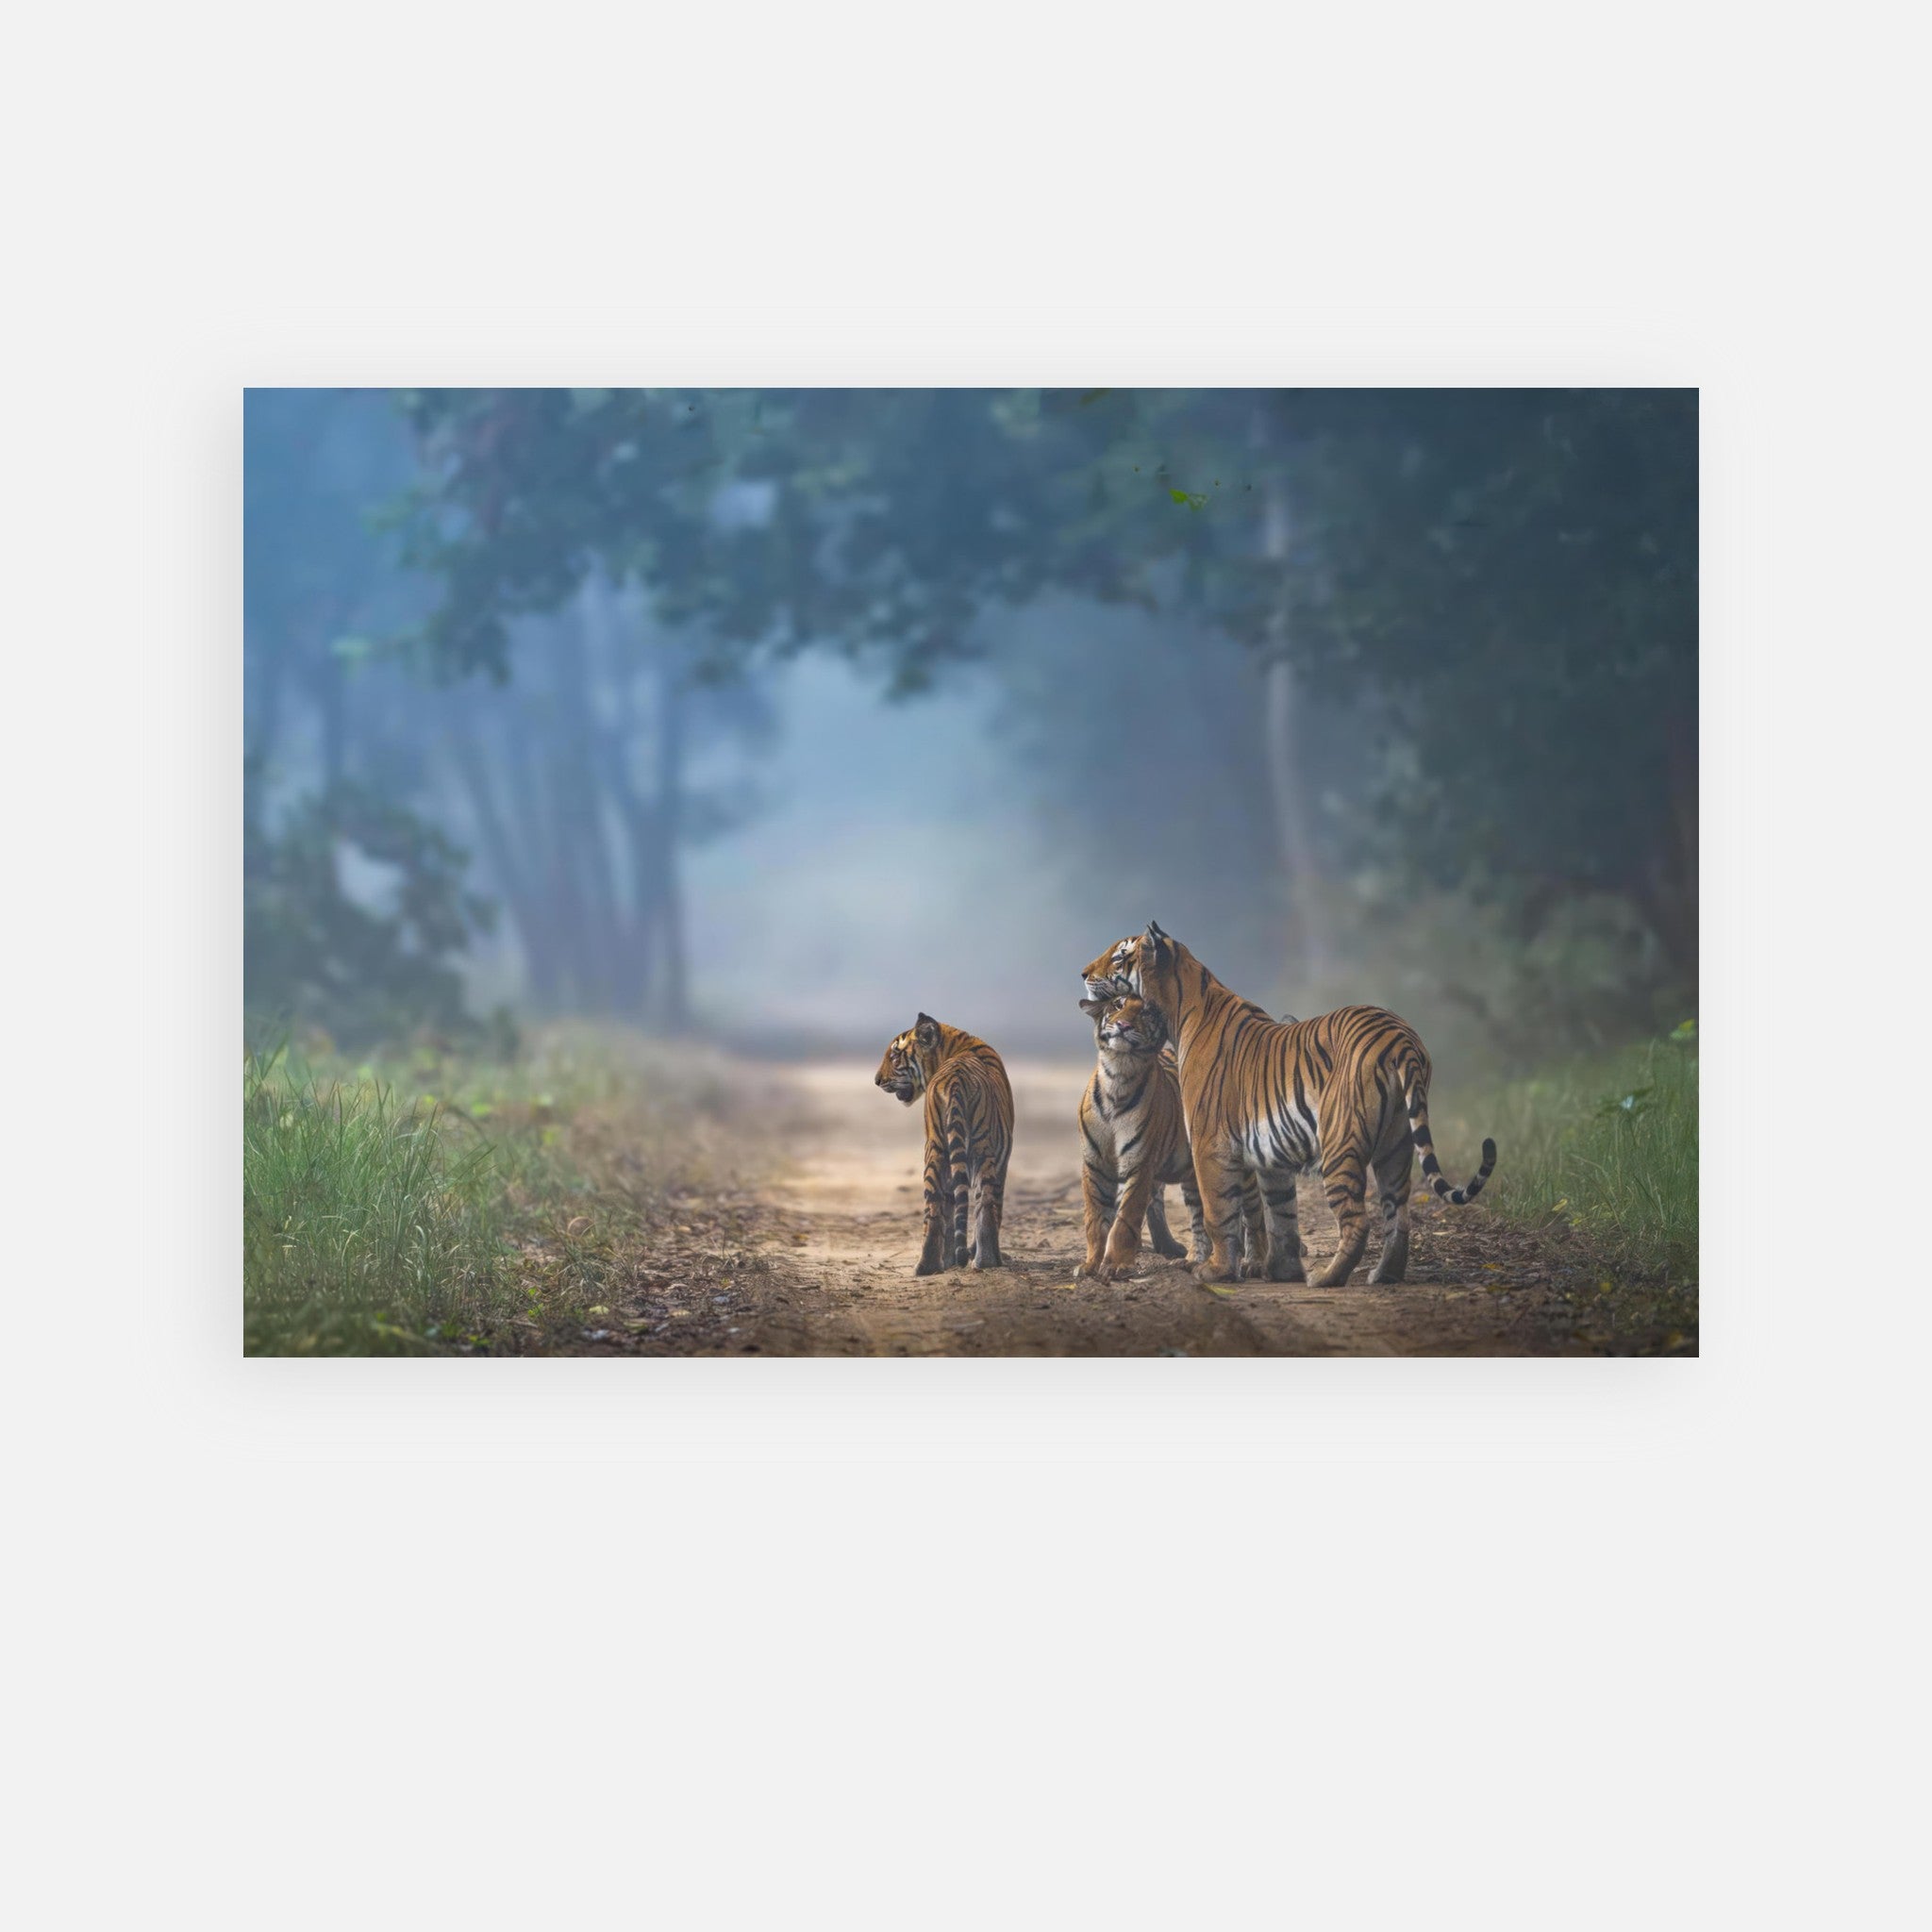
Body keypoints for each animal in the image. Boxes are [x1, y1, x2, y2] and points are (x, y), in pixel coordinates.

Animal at [874, 1012, 1014, 1275]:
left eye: (894, 1056)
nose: (877, 1080)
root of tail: (955, 1079)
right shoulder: (1003, 1160)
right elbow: (994, 1207)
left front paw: (950, 1260)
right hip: (981, 1148)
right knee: (984, 1204)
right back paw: (988, 1261)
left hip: (936, 1148)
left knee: (935, 1207)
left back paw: (927, 1266)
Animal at [1076, 992, 1265, 1281]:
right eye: (1118, 1005)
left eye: (1145, 1013)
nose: (1123, 1025)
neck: (1118, 1075)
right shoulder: (1095, 1165)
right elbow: (1095, 1220)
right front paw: (1090, 1264)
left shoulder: (1139, 1166)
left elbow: (1125, 1219)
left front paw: (1116, 1265)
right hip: (1193, 1176)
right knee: (1199, 1218)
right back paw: (1193, 1260)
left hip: (1240, 1168)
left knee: (1254, 1211)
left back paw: (1254, 1262)